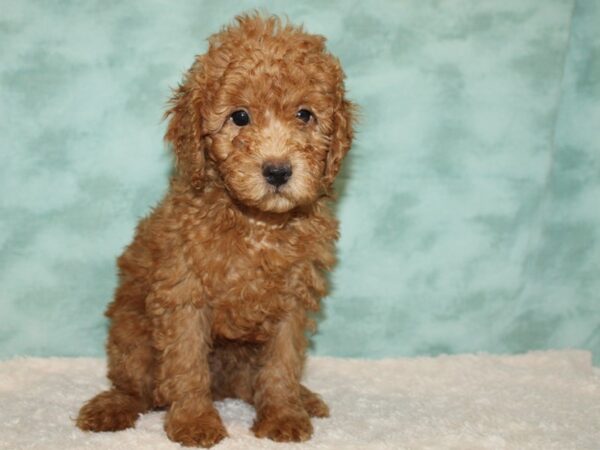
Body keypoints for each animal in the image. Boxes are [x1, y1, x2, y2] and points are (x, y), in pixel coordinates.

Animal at [77, 13, 354, 446]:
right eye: (239, 117)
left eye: (305, 115)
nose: (278, 171)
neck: (257, 222)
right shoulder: (183, 292)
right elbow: (187, 362)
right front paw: (194, 422)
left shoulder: (293, 298)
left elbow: (283, 362)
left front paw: (282, 415)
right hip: (131, 335)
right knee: (135, 385)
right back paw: (112, 407)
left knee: (252, 382)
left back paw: (303, 398)